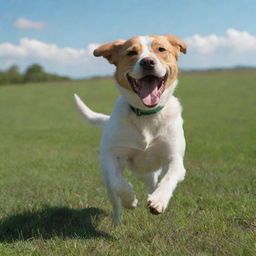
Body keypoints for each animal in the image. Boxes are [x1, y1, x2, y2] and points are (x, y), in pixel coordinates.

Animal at [74, 34, 188, 224]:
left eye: (161, 49)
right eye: (131, 52)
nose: (148, 62)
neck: (146, 115)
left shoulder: (174, 158)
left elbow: (169, 177)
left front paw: (158, 200)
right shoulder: (113, 158)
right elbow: (119, 183)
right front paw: (130, 200)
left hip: (150, 172)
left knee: (153, 183)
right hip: (108, 178)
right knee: (115, 200)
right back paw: (116, 221)